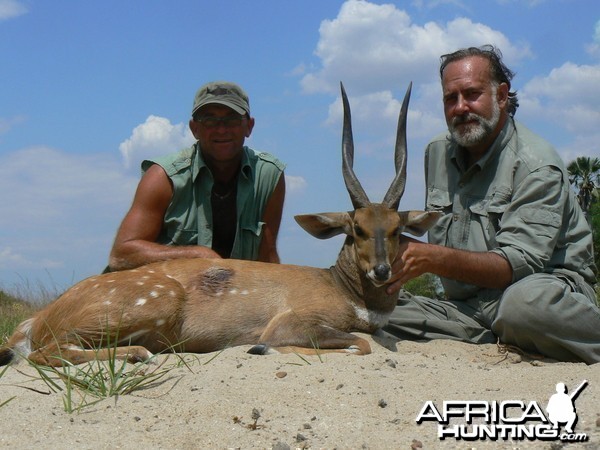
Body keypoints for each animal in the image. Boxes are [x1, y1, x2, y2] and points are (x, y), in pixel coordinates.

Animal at [0, 82, 440, 368]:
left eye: (396, 230)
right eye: (357, 229)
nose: (381, 270)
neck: (344, 290)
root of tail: (39, 318)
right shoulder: (293, 321)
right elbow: (359, 345)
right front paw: (262, 349)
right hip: (149, 305)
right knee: (46, 353)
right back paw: (139, 355)